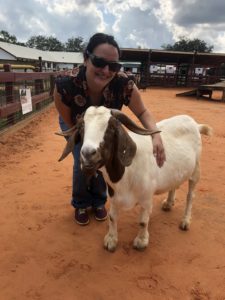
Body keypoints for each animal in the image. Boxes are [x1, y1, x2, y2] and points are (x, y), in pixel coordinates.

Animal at [57, 106, 212, 252]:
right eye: (82, 127)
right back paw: (168, 203)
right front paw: (111, 240)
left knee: (190, 195)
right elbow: (112, 217)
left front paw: (141, 241)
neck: (126, 174)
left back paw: (185, 221)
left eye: (111, 127)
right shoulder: (113, 196)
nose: (88, 154)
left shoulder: (147, 198)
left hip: (196, 169)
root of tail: (195, 124)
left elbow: (143, 221)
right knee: (174, 183)